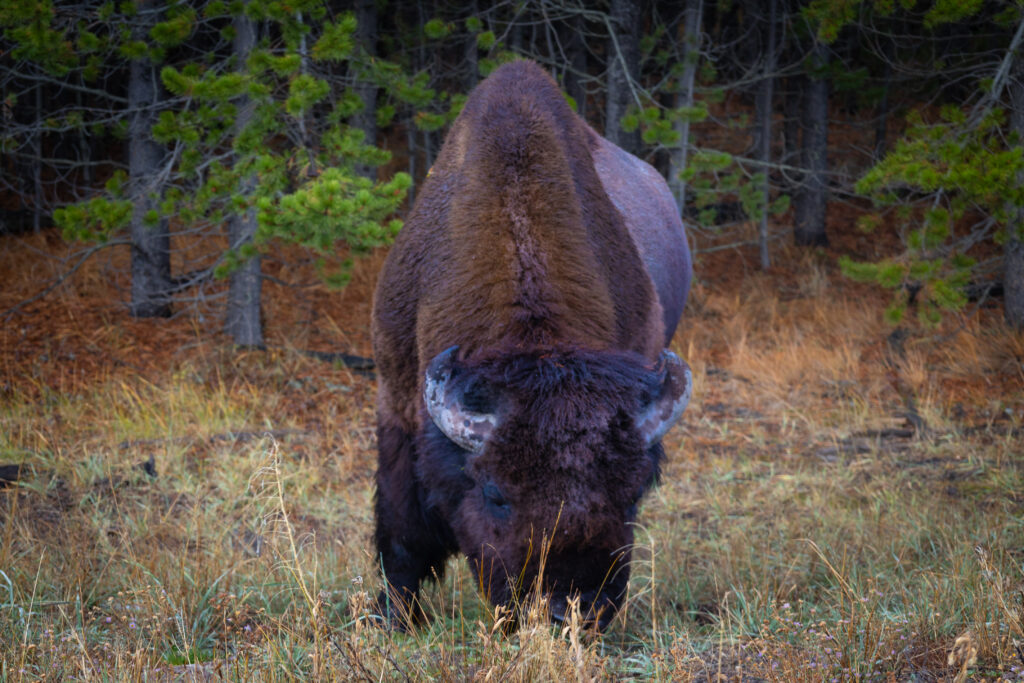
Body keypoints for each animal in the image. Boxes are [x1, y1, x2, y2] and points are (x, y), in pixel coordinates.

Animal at [372, 60, 692, 630]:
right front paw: (393, 619)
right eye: (495, 493)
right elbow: (401, 530)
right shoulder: (397, 397)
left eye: (632, 495)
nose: (569, 608)